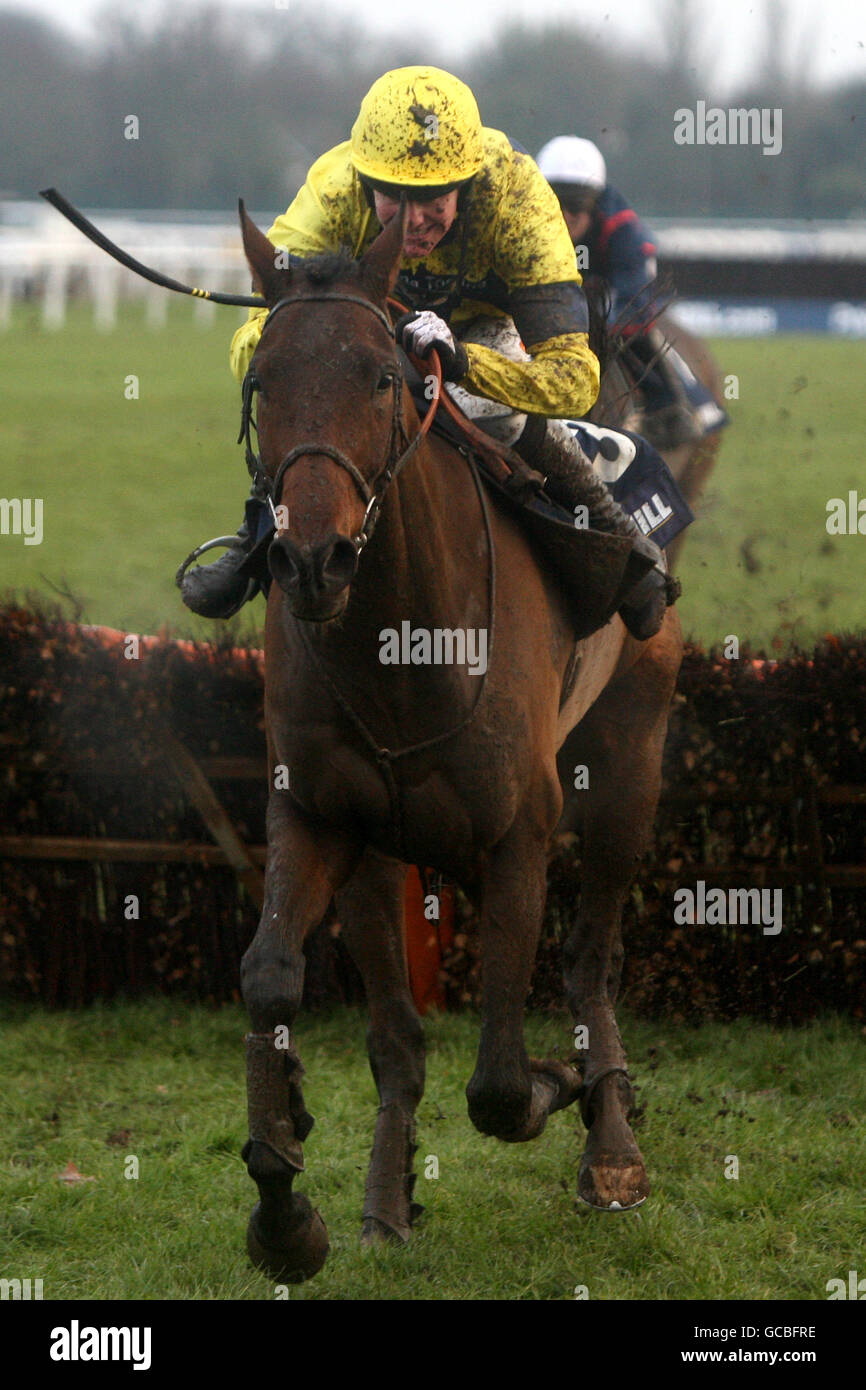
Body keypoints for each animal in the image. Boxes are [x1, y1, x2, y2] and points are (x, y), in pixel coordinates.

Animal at [234, 202, 683, 1278]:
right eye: (263, 384)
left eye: (380, 377)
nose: (311, 559)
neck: (402, 646)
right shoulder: (325, 814)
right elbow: (280, 981)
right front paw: (294, 1200)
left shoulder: (520, 833)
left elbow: (499, 1084)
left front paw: (563, 1085)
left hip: (628, 769)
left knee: (590, 956)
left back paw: (610, 1142)